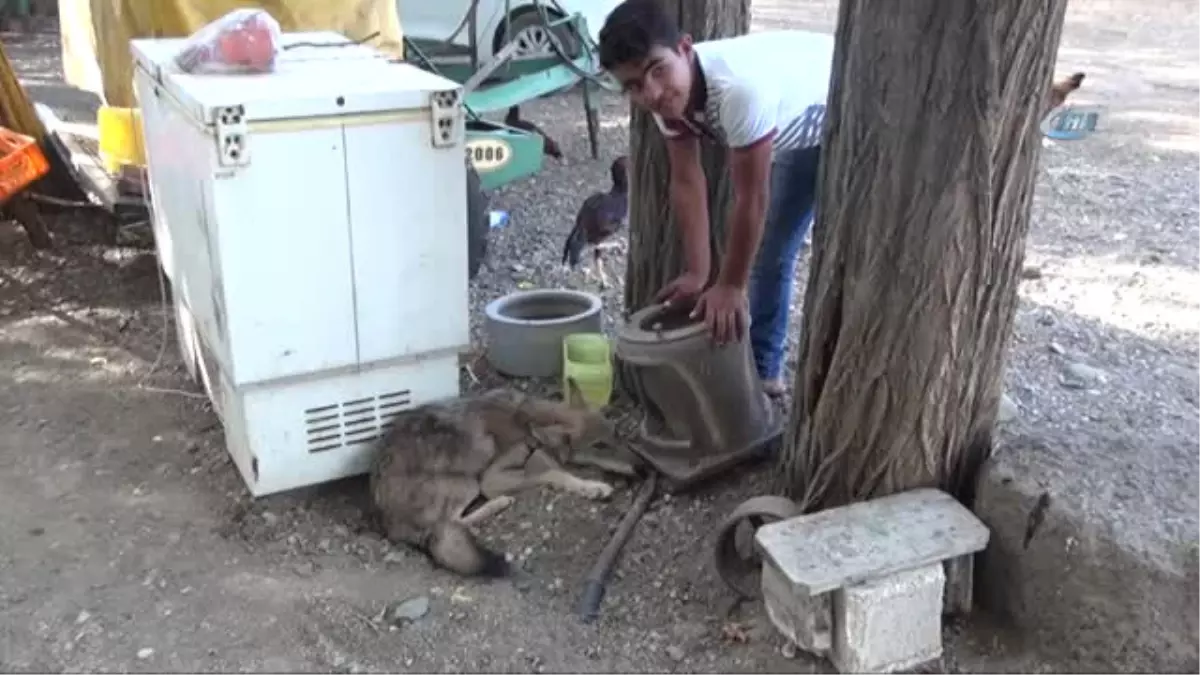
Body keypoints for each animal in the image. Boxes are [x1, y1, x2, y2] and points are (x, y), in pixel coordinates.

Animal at [369, 379, 643, 571]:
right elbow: (554, 472)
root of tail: (387, 523)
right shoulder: (491, 479)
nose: (641, 467)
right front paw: (592, 487)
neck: (530, 422)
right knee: (454, 522)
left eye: (616, 433)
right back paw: (499, 503)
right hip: (468, 483)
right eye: (600, 446)